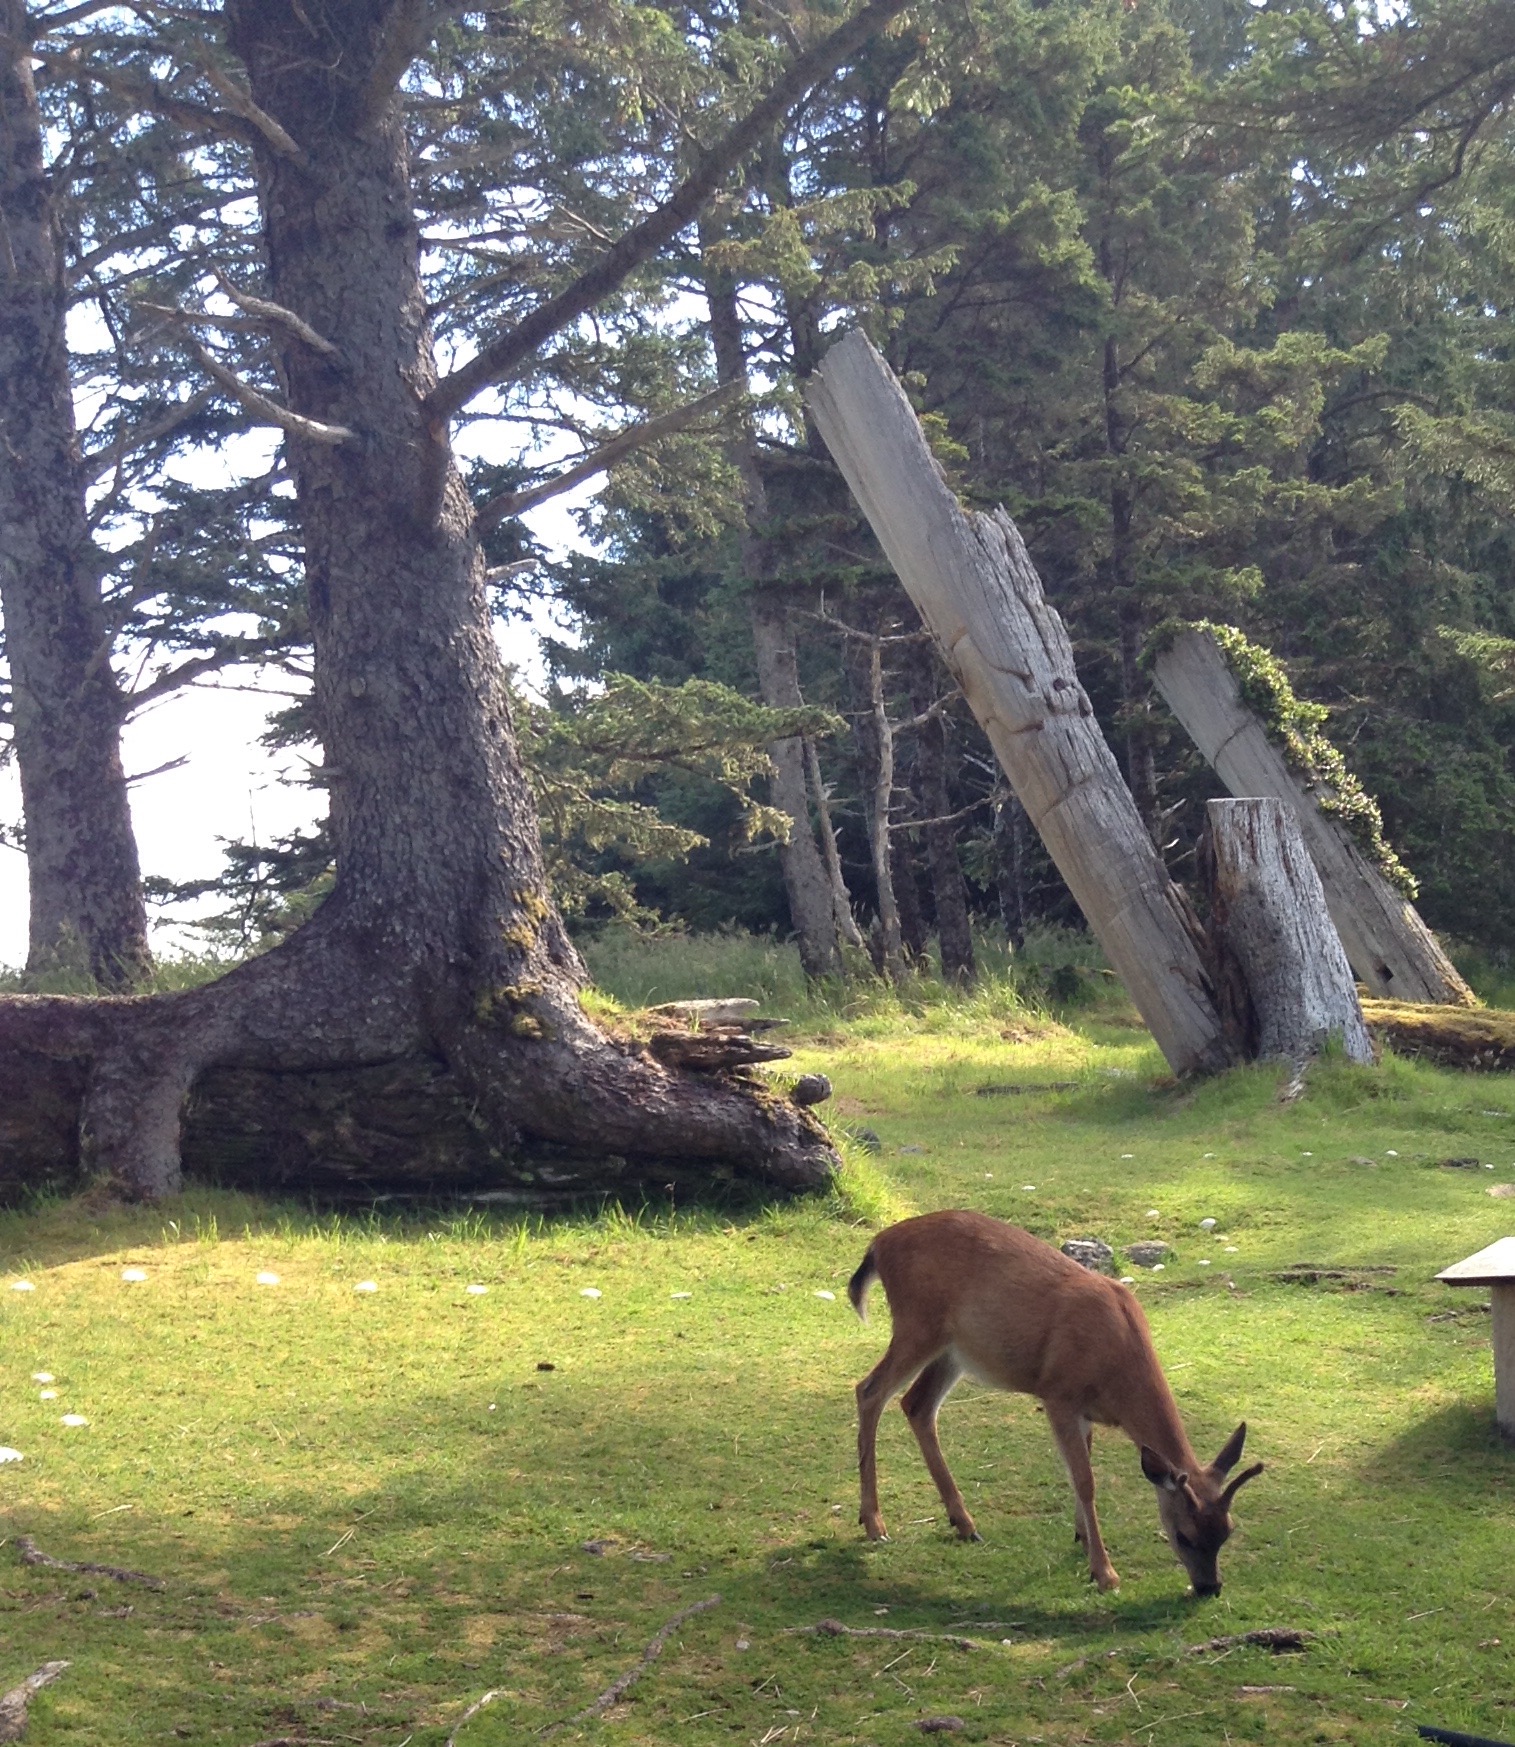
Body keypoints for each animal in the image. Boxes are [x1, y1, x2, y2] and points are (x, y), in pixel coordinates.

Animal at [845, 1215, 1265, 1600]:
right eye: (1184, 1535)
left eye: (1228, 1531)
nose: (1210, 1587)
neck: (1117, 1363)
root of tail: (878, 1245)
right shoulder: (1059, 1394)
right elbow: (1085, 1480)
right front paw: (1105, 1572)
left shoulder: (1084, 1411)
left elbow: (1083, 1470)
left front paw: (1082, 1539)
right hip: (917, 1326)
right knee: (869, 1391)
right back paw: (875, 1524)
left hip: (955, 1351)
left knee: (917, 1405)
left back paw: (964, 1523)